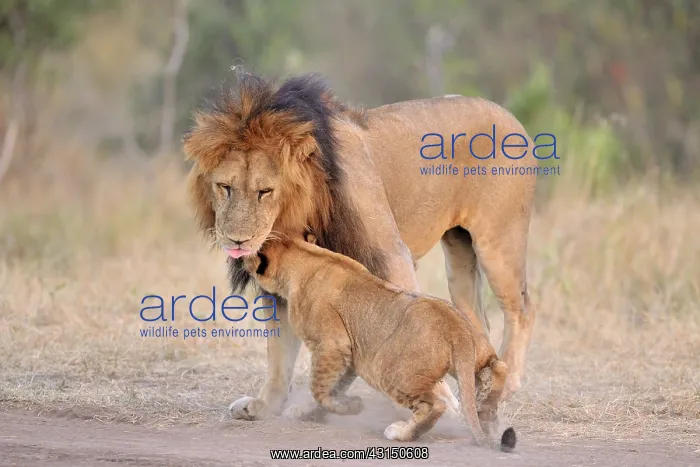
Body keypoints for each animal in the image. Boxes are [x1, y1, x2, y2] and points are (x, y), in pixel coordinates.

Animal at [183, 72, 537, 421]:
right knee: (476, 319)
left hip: (498, 243)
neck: (302, 211)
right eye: (224, 187)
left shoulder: (390, 255)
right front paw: (266, 405)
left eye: (264, 191)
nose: (237, 240)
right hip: (460, 256)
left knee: (521, 310)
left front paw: (439, 402)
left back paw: (505, 386)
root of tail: (510, 116)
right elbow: (280, 353)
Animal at [242, 233, 516, 451]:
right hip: (477, 351)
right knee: (499, 367)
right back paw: (486, 412)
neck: (306, 255)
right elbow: (335, 386)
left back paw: (402, 432)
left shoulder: (332, 344)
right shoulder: (351, 356)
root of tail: (454, 327)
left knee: (435, 405)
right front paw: (319, 409)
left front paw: (350, 407)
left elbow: (319, 389)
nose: (241, 255)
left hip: (388, 371)